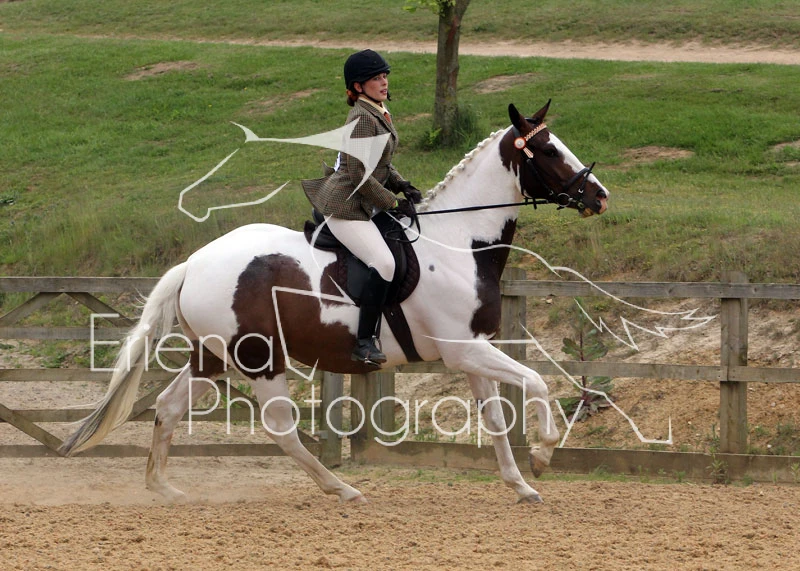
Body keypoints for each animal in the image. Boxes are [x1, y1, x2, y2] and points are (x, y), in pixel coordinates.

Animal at [60, 101, 609, 504]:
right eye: (550, 151)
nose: (599, 197)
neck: (457, 241)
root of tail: (192, 264)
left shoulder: (472, 351)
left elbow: (496, 420)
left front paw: (522, 486)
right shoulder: (464, 349)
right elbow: (537, 381)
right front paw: (543, 454)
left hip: (212, 356)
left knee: (170, 407)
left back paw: (164, 488)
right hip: (260, 359)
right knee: (282, 429)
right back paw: (342, 488)